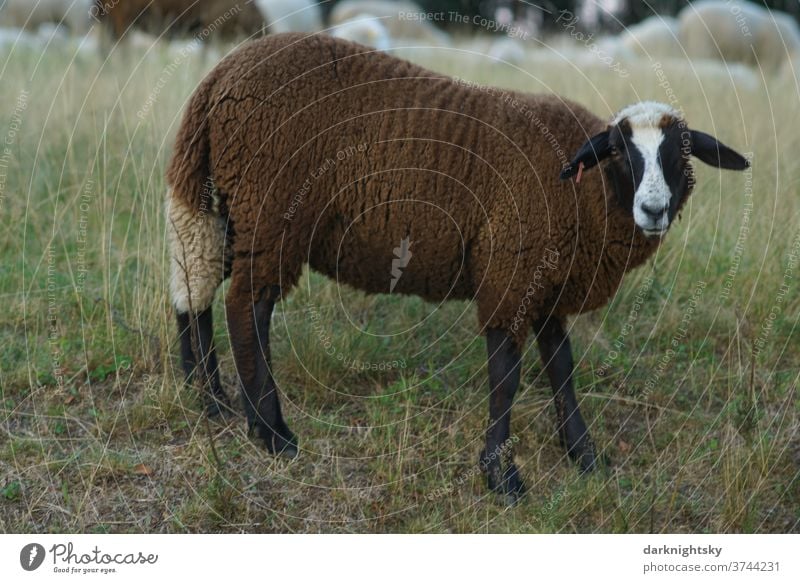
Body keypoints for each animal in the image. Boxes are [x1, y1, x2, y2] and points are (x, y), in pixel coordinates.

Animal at [164, 32, 752, 502]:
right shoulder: (511, 274)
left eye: (679, 155)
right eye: (619, 153)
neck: (584, 190)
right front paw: (502, 478)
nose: (653, 211)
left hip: (235, 210)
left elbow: (561, 369)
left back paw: (208, 398)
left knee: (196, 287)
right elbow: (506, 378)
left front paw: (584, 456)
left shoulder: (548, 284)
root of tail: (219, 78)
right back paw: (271, 432)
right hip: (271, 210)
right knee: (246, 307)